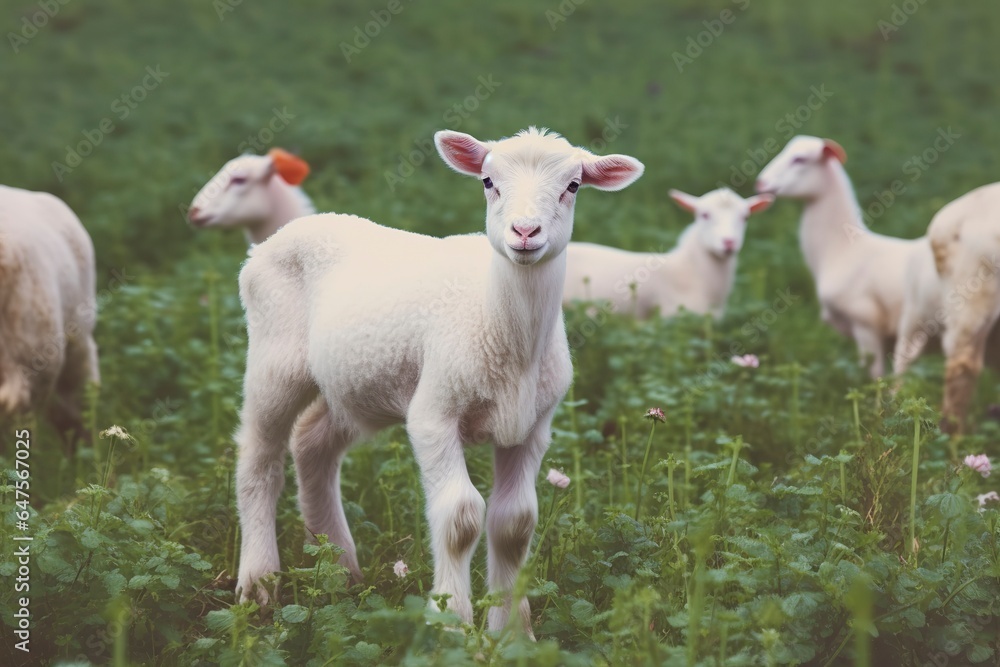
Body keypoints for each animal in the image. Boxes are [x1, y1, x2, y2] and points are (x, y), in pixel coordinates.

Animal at [231, 128, 644, 636]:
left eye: (573, 186)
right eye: (488, 181)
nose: (525, 233)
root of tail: (280, 235)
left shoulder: (532, 427)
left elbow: (515, 523)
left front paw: (513, 633)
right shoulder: (434, 412)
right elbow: (461, 516)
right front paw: (451, 624)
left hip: (356, 383)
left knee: (312, 443)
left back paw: (337, 568)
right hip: (274, 357)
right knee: (259, 456)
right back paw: (259, 583)